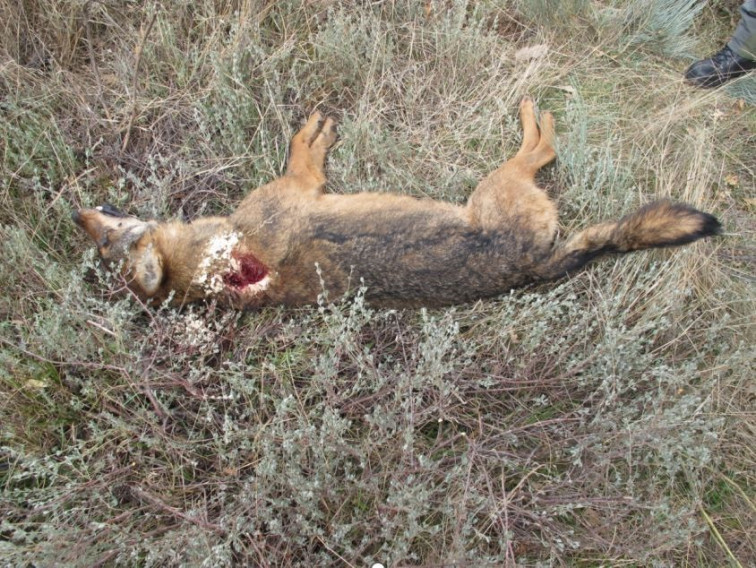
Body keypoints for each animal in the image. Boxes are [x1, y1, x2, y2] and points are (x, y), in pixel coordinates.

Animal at [73, 97, 720, 309]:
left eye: (102, 236)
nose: (75, 214)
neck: (218, 263)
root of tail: (529, 268)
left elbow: (299, 146)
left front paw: (314, 130)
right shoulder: (299, 186)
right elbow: (301, 151)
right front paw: (315, 133)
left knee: (545, 145)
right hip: (499, 183)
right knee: (543, 147)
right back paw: (533, 112)